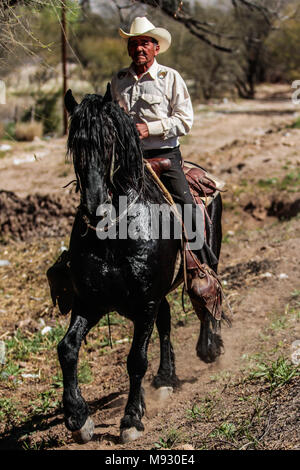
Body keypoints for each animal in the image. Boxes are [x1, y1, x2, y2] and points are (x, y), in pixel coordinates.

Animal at [55, 88, 225, 444]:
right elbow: (67, 349)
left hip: (209, 256)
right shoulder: (90, 302)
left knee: (207, 294)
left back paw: (209, 347)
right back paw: (165, 378)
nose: (94, 207)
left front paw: (131, 418)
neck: (116, 235)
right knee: (166, 322)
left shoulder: (145, 302)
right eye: (74, 143)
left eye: (109, 140)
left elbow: (136, 359)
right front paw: (78, 418)